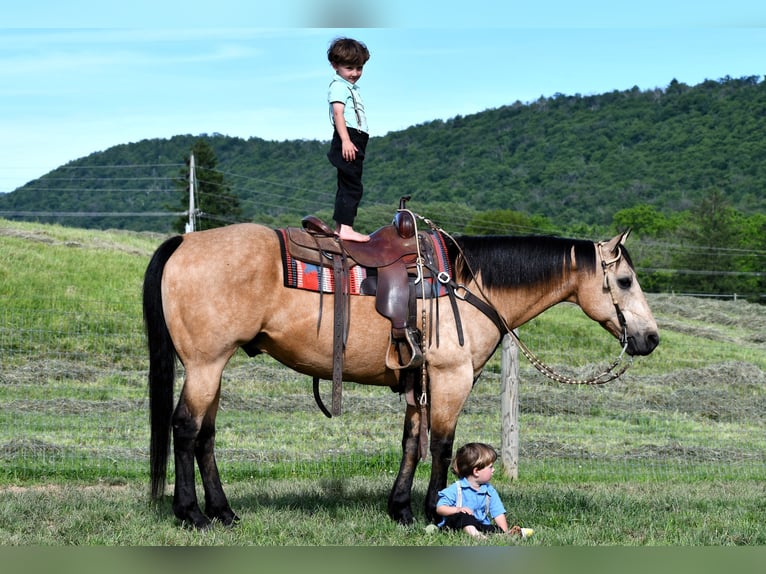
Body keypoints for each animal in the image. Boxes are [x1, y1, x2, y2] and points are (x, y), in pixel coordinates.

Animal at [144, 217, 660, 532]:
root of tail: (187, 241)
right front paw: (440, 511)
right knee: (185, 428)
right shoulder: (451, 378)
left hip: (213, 367)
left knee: (205, 435)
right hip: (206, 364)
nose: (650, 338)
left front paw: (401, 508)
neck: (469, 284)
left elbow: (412, 443)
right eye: (625, 281)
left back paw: (223, 511)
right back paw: (191, 514)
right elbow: (444, 447)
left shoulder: (419, 383)